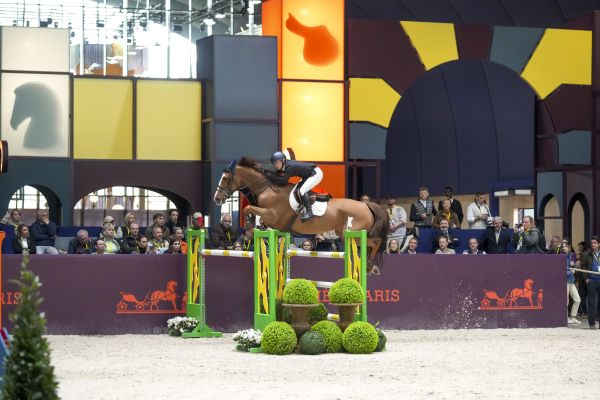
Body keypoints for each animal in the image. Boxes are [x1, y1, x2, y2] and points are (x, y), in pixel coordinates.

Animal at [213, 158, 386, 274]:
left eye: (226, 178)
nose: (217, 199)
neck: (266, 188)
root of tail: (365, 205)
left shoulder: (272, 214)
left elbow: (248, 208)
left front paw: (251, 225)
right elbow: (252, 213)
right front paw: (255, 227)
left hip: (353, 234)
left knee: (376, 241)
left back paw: (371, 265)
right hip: (347, 235)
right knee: (370, 245)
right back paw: (369, 265)